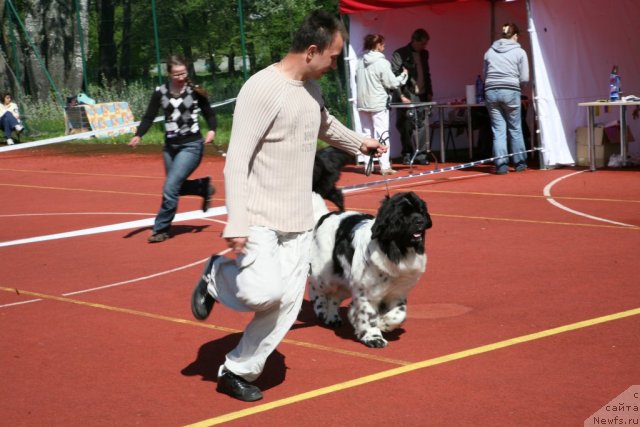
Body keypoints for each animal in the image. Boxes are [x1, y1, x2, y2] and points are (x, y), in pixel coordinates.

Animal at [308, 192, 432, 350]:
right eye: (402, 214)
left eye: (421, 211)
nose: (420, 220)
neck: (395, 251)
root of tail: (324, 216)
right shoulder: (367, 293)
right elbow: (368, 315)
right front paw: (373, 337)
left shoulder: (398, 292)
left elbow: (399, 314)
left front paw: (382, 323)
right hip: (325, 275)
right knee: (315, 288)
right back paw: (321, 309)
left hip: (345, 281)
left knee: (334, 296)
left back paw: (332, 317)